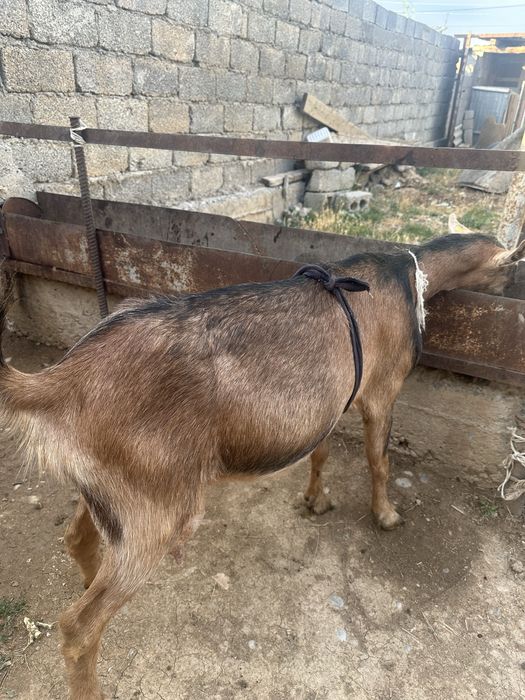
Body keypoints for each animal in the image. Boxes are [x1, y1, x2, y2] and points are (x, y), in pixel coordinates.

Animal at [0, 233, 523, 699]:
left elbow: (321, 452)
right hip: (155, 509)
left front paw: (315, 500)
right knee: (78, 626)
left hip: (112, 489)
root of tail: (60, 378)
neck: (405, 274)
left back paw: (88, 576)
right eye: (514, 270)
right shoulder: (380, 391)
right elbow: (379, 460)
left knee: (76, 538)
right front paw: (387, 515)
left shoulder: (331, 400)